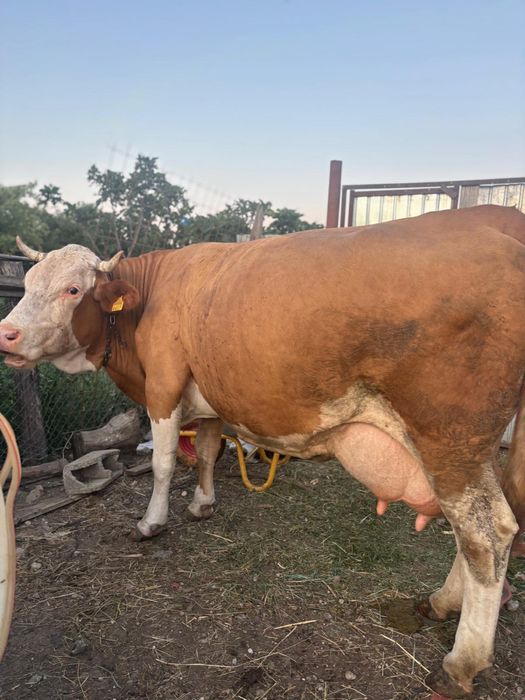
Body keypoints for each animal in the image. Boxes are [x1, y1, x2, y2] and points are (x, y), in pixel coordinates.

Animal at [0, 204, 524, 697]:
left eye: (72, 290)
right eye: (26, 283)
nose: (7, 333)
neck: (151, 296)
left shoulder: (163, 387)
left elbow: (163, 463)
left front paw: (152, 523)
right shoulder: (207, 392)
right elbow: (206, 451)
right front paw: (202, 504)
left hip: (450, 438)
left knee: (487, 534)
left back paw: (460, 663)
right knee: (477, 530)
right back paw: (442, 603)